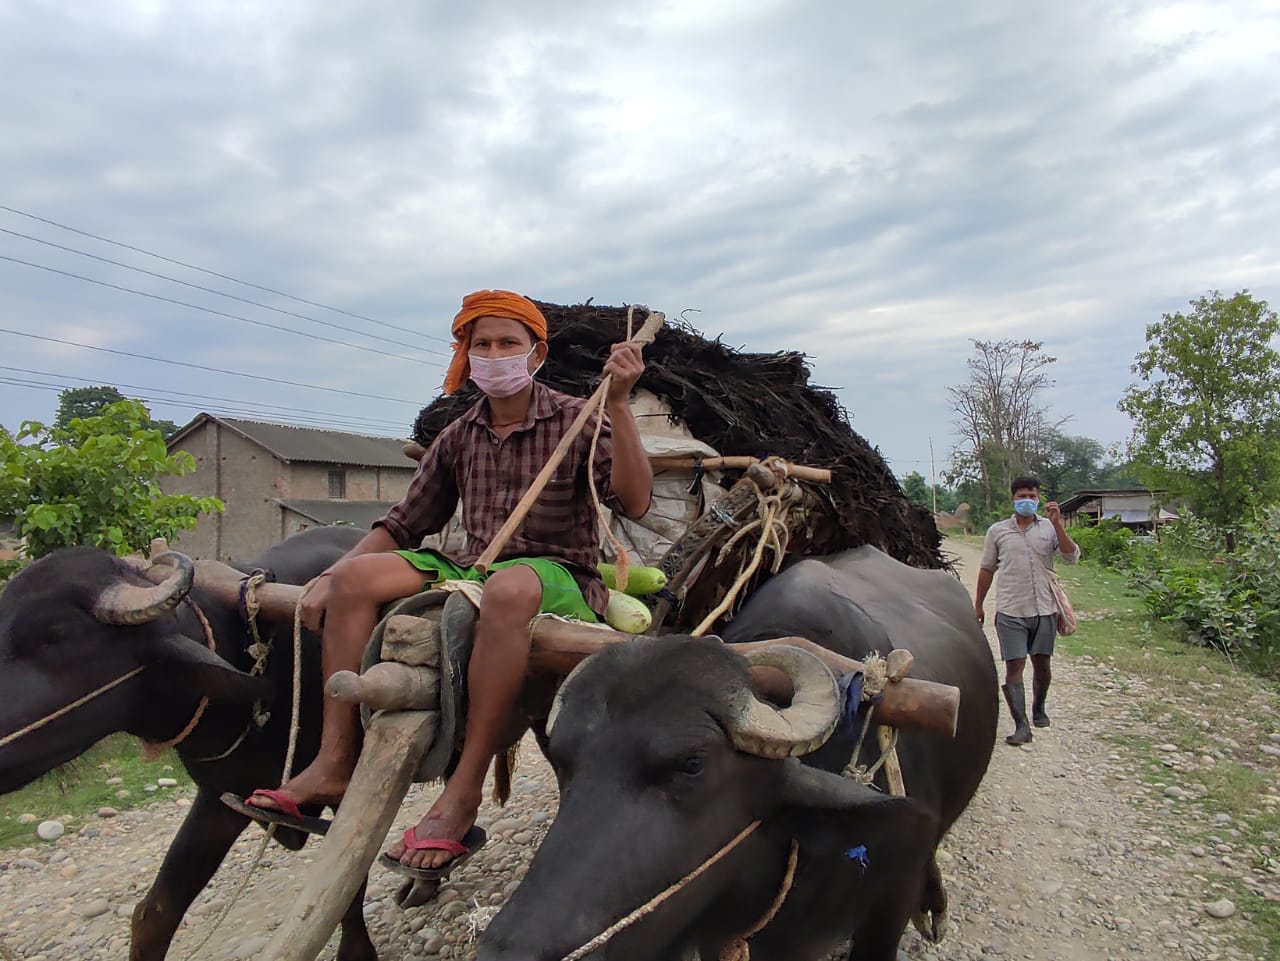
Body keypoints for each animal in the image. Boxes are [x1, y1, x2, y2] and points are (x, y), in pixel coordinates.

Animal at [0, 529, 373, 957]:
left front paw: (357, 951)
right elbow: (154, 911)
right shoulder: (222, 796)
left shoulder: (348, 787)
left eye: (58, 634)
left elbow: (347, 870)